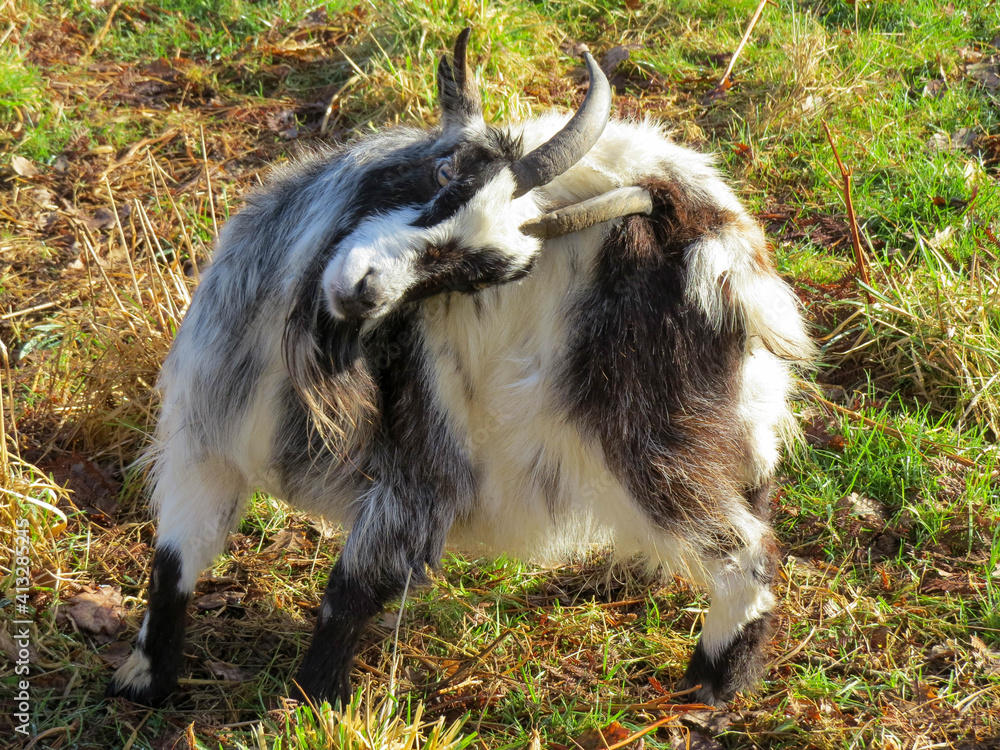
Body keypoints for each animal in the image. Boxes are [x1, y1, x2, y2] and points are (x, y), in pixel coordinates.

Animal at [106, 30, 814, 709]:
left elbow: (349, 591)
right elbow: (173, 561)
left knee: (744, 548)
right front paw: (143, 682)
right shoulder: (208, 443)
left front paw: (311, 703)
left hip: (645, 437)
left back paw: (713, 682)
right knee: (753, 499)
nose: (365, 291)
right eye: (446, 169)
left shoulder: (419, 472)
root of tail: (717, 248)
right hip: (735, 419)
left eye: (484, 274)